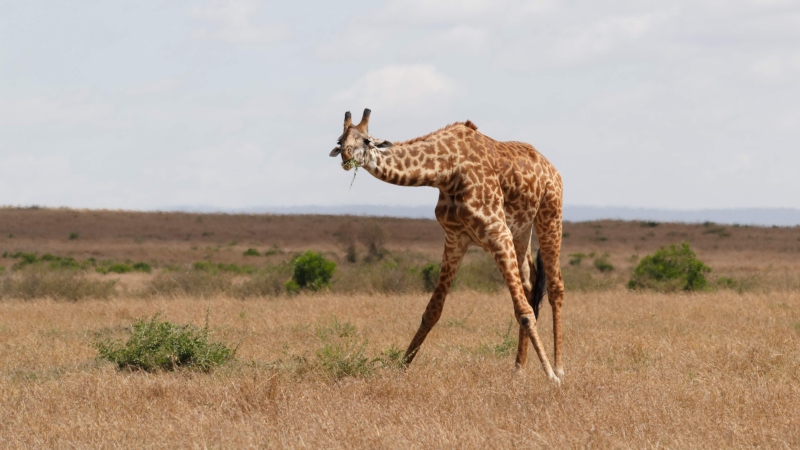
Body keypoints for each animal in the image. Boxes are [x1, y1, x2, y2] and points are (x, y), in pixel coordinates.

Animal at [328, 109, 564, 384]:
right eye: (340, 141)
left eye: (366, 141)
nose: (346, 157)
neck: (447, 171)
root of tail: (551, 168)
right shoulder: (455, 238)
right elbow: (432, 310)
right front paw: (401, 367)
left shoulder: (496, 231)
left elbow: (523, 311)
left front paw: (550, 376)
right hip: (522, 230)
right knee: (530, 285)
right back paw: (518, 368)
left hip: (550, 213)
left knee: (555, 287)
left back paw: (559, 367)